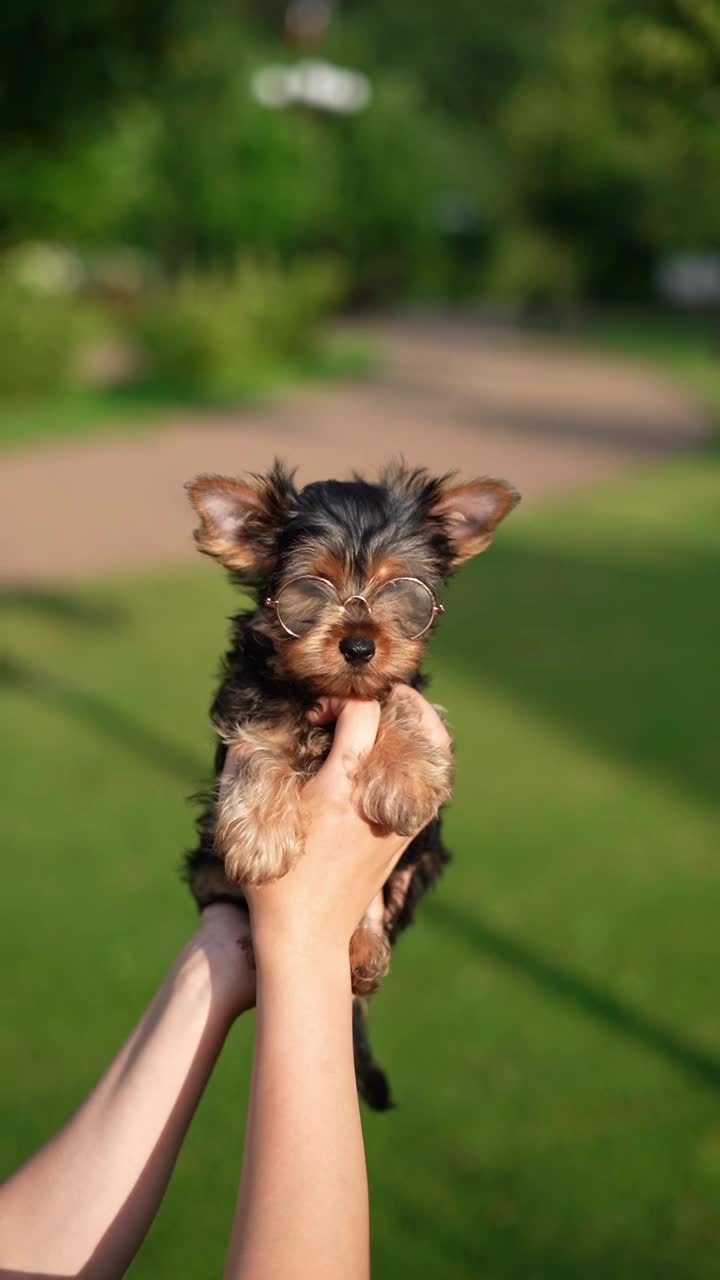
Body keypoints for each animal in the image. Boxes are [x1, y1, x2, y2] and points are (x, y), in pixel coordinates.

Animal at [183, 463, 515, 1111]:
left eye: (403, 592)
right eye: (311, 590)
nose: (359, 645)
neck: (330, 692)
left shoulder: (400, 689)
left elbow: (396, 699)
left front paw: (406, 774)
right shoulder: (250, 700)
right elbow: (260, 739)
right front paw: (261, 835)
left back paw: (361, 953)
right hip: (207, 872)